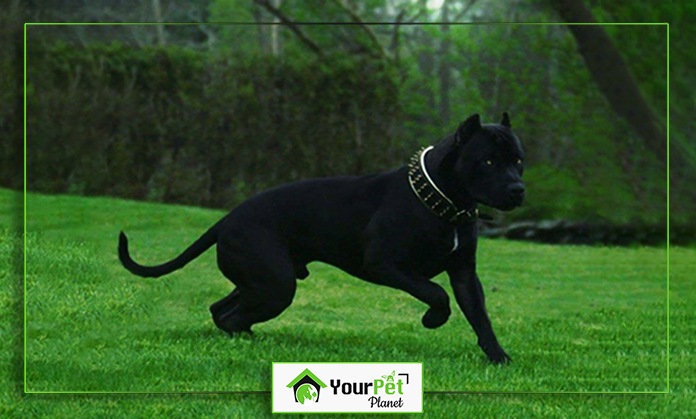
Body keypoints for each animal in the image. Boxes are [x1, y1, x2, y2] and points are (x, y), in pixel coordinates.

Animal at [118, 113, 520, 366]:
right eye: (487, 162)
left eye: (518, 161)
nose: (518, 188)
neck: (443, 202)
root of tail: (226, 219)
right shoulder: (386, 264)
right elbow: (435, 293)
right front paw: (433, 319)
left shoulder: (465, 274)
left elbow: (479, 315)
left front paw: (498, 357)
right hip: (275, 284)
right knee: (231, 314)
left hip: (260, 281)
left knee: (222, 309)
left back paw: (245, 338)